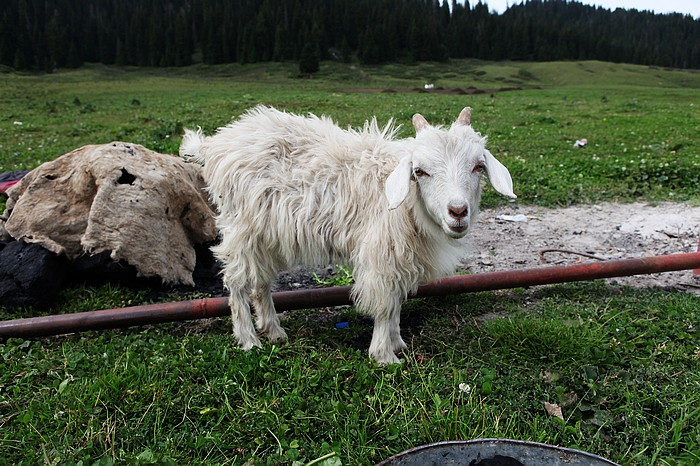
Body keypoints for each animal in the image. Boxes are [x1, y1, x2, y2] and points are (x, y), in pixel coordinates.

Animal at [180, 104, 516, 364]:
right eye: (420, 171)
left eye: (478, 167)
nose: (457, 211)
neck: (407, 203)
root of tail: (215, 145)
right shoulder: (381, 255)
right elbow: (386, 304)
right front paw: (384, 356)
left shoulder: (397, 256)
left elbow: (396, 302)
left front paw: (398, 343)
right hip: (242, 229)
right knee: (236, 282)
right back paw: (249, 340)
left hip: (269, 235)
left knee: (260, 283)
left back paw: (274, 332)